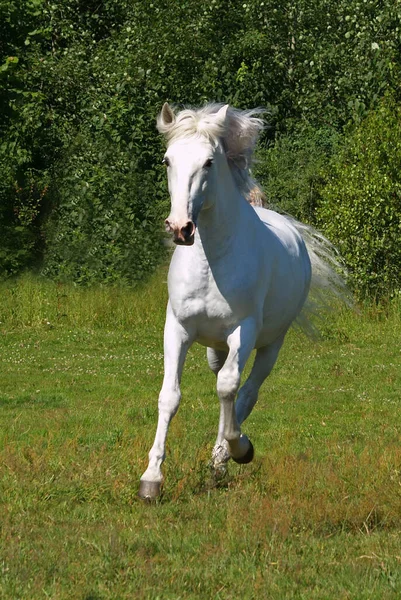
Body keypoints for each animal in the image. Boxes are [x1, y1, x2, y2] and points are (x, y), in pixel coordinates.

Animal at [138, 104, 346, 502]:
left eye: (208, 162)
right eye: (167, 160)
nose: (180, 228)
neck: (212, 261)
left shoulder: (243, 330)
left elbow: (230, 390)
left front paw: (238, 448)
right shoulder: (177, 329)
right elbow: (169, 396)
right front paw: (151, 479)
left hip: (270, 344)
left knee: (245, 391)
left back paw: (225, 457)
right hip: (214, 348)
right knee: (226, 386)